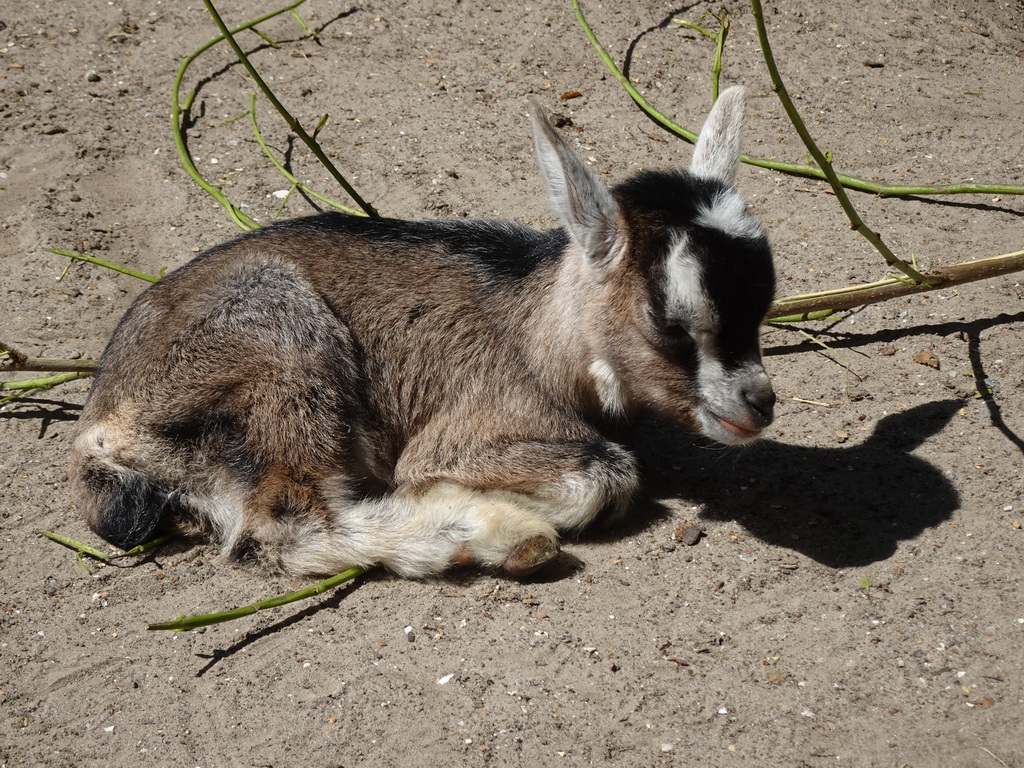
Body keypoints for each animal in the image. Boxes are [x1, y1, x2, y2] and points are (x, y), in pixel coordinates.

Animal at [70, 88, 774, 577]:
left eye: (766, 302)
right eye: (669, 324)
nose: (759, 404)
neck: (537, 338)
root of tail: (104, 425)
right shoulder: (474, 424)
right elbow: (609, 474)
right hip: (283, 348)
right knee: (286, 527)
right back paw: (496, 533)